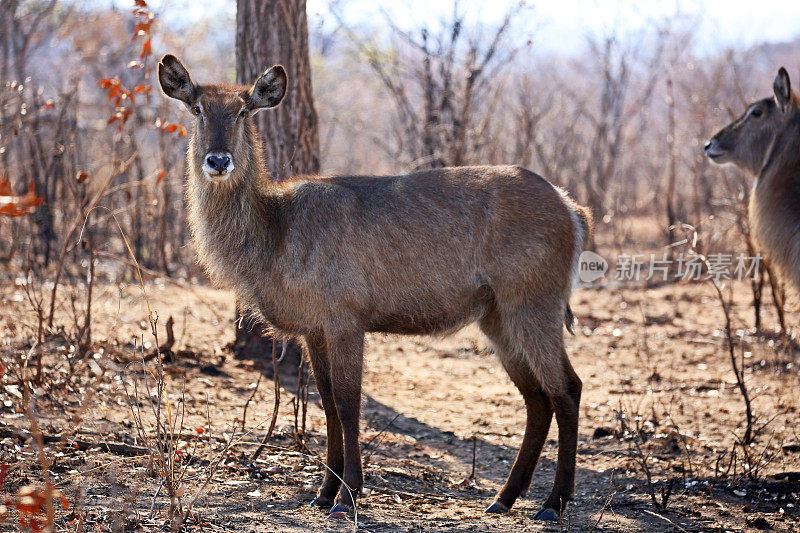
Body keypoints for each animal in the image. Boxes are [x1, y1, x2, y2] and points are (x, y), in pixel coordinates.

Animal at [158, 53, 592, 520]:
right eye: (197, 109)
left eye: (243, 110)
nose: (218, 161)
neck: (275, 226)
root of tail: (571, 206)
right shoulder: (315, 330)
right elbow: (327, 403)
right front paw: (324, 492)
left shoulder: (345, 321)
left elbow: (350, 404)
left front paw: (348, 494)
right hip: (497, 318)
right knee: (537, 398)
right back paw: (504, 498)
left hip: (533, 305)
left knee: (567, 390)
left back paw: (553, 503)